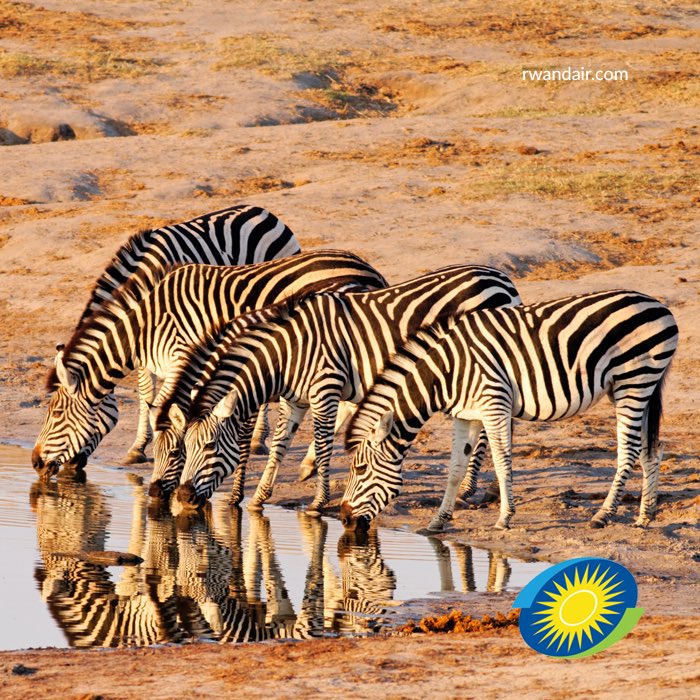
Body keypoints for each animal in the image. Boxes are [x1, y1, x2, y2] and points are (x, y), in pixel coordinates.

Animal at [32, 251, 387, 485]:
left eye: (55, 413)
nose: (34, 463)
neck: (146, 323)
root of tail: (369, 269)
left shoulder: (181, 356)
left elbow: (164, 410)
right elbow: (162, 408)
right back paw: (310, 462)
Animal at [58, 204, 301, 465]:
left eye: (60, 414)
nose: (67, 468)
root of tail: (264, 211)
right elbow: (147, 393)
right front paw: (140, 446)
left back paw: (258, 439)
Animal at [169, 265, 522, 512]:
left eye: (210, 446)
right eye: (184, 446)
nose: (183, 497)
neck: (288, 352)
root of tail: (501, 278)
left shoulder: (324, 388)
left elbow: (323, 443)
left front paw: (318, 502)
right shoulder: (295, 400)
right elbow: (279, 444)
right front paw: (259, 497)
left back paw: (470, 490)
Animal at [340, 290, 678, 532]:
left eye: (360, 469)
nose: (343, 519)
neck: (446, 372)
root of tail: (659, 306)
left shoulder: (494, 404)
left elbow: (502, 462)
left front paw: (504, 518)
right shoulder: (465, 414)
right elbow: (455, 468)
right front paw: (438, 520)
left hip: (633, 381)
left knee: (630, 450)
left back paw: (603, 514)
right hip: (637, 387)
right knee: (652, 448)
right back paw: (645, 516)